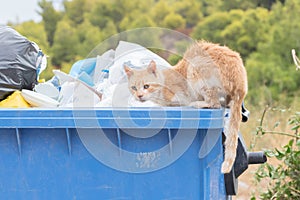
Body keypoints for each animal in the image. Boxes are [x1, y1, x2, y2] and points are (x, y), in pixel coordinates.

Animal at [123, 40, 247, 173]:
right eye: (133, 88)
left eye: (146, 86)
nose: (139, 96)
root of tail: (240, 85)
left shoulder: (180, 97)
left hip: (196, 71)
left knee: (214, 103)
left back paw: (198, 104)